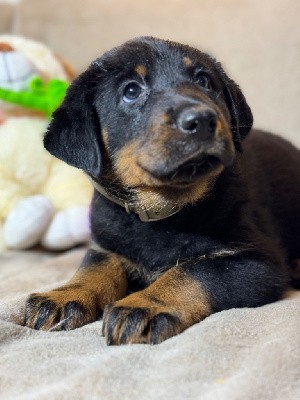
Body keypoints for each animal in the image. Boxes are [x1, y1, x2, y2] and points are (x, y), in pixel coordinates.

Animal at [24, 36, 300, 344]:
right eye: (131, 91)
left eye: (204, 81)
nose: (201, 120)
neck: (162, 210)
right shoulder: (105, 242)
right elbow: (94, 265)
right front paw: (64, 294)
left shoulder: (259, 262)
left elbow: (192, 270)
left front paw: (144, 304)